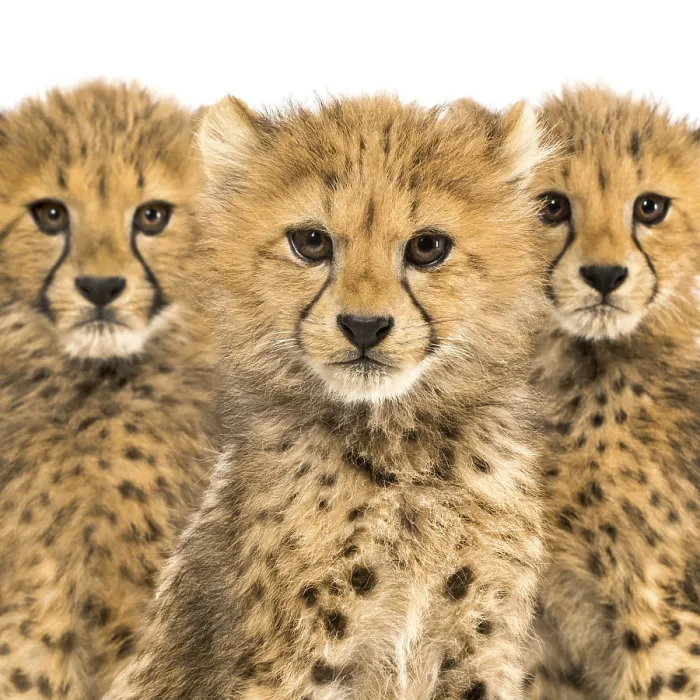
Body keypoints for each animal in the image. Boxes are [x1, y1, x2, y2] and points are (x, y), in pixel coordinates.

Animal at [104, 93, 551, 700]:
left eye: (427, 247)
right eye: (311, 242)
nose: (364, 326)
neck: (400, 451)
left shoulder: (480, 649)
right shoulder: (301, 661)